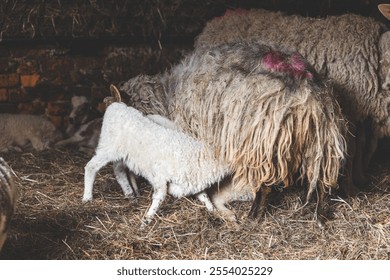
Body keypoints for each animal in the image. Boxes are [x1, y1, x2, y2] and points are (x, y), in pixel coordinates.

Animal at [82, 86, 229, 224]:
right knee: (91, 167)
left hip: (121, 154)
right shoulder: (160, 178)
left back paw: (130, 194)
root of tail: (117, 104)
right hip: (108, 146)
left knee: (119, 171)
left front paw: (212, 210)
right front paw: (146, 220)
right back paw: (87, 198)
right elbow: (159, 197)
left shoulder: (191, 183)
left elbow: (204, 197)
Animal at [195, 9, 390, 190]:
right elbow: (354, 148)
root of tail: (214, 22)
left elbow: (368, 145)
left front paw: (362, 176)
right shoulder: (352, 108)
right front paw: (352, 185)